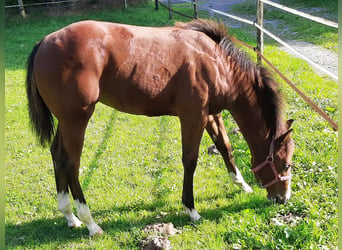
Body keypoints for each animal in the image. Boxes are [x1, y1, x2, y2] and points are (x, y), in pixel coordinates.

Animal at [26, 19, 294, 236]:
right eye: (286, 164)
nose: (282, 198)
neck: (217, 62)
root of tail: (44, 42)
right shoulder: (193, 117)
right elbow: (190, 161)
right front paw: (191, 209)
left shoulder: (211, 115)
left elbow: (225, 148)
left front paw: (243, 185)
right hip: (76, 120)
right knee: (71, 163)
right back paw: (91, 223)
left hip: (66, 121)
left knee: (57, 155)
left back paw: (70, 216)